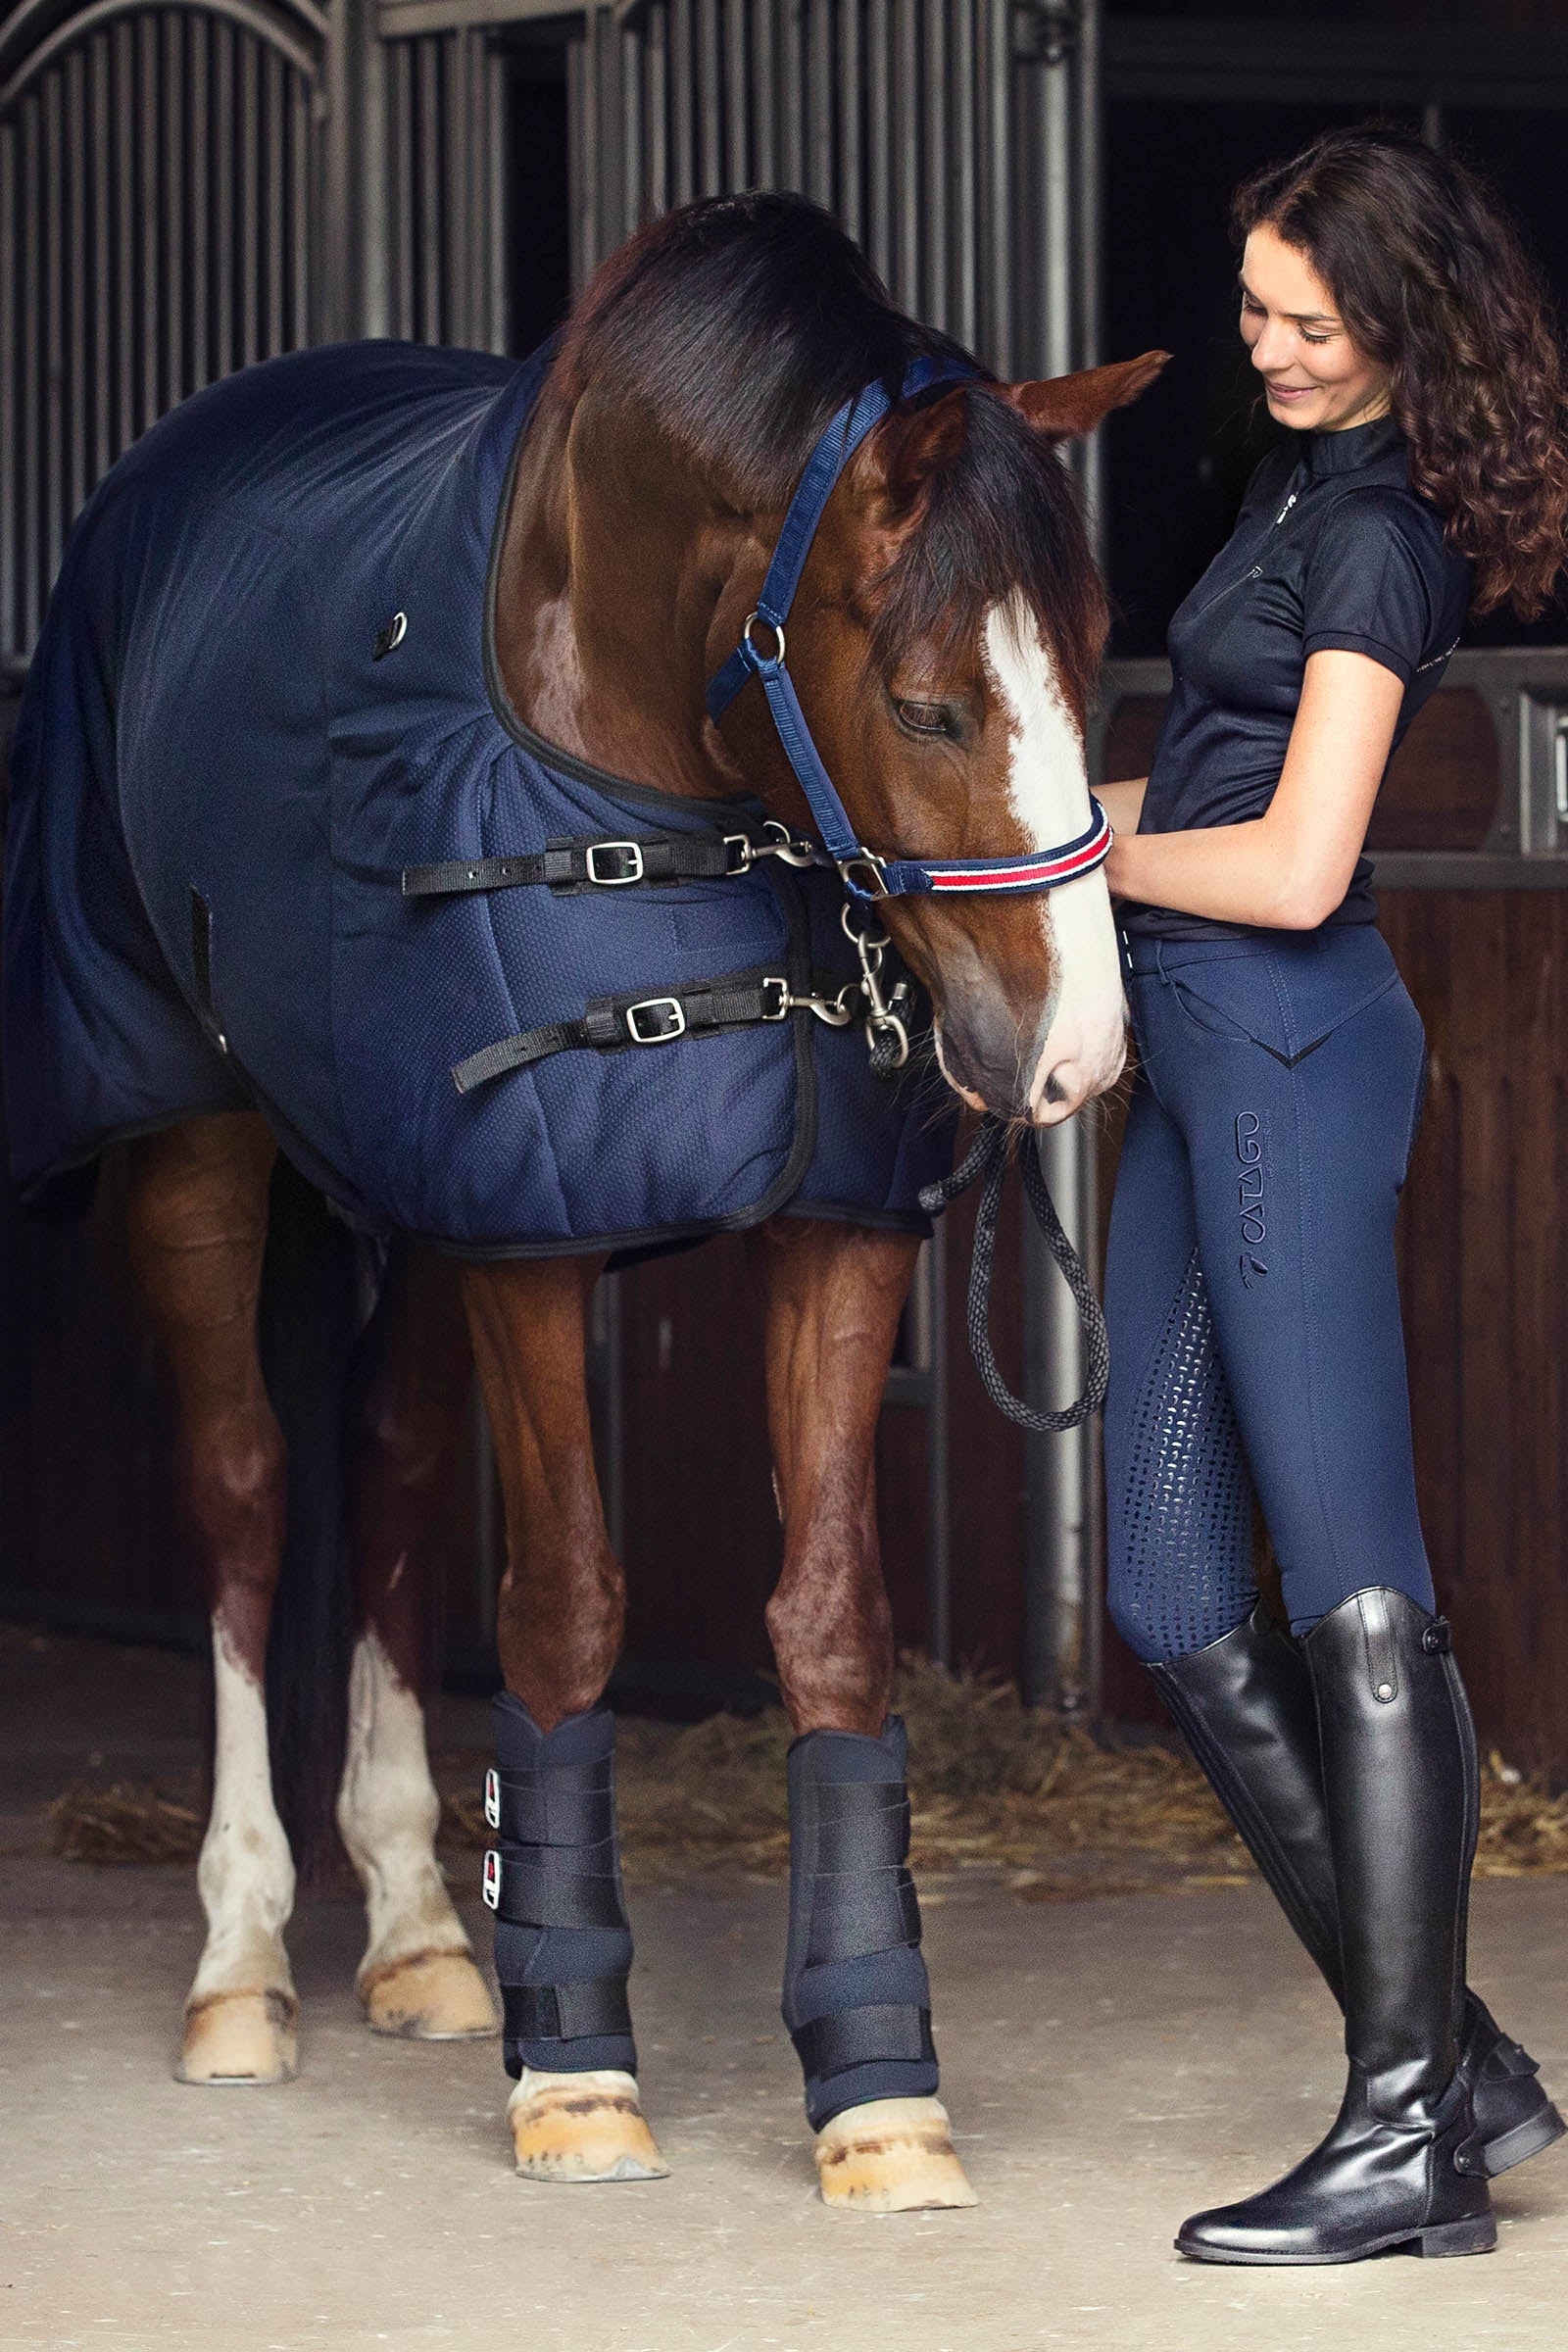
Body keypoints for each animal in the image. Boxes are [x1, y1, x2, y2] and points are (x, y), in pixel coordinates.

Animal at [3, 192, 1163, 2211]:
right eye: (933, 704)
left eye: (1092, 677)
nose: (1077, 1052)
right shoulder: (527, 1244)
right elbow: (564, 1612)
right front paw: (582, 2077)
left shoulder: (814, 1238)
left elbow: (830, 1617)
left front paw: (878, 2093)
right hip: (203, 1143)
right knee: (245, 1492)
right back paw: (243, 1963)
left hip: (411, 1201)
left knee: (386, 1471)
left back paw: (417, 1936)